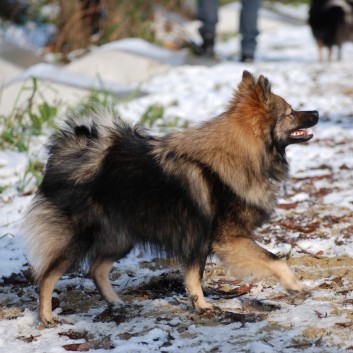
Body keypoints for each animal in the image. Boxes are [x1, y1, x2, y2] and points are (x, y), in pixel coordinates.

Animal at [23, 71, 318, 324]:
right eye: (291, 112)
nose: (316, 112)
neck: (241, 154)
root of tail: (73, 154)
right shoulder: (227, 239)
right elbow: (275, 260)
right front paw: (296, 287)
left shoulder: (200, 242)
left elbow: (193, 277)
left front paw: (201, 305)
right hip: (79, 239)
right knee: (46, 277)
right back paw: (46, 316)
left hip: (122, 237)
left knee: (96, 269)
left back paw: (116, 302)